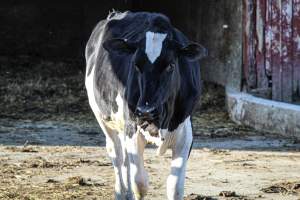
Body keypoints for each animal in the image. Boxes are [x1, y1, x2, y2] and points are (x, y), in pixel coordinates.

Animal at [84, 11, 206, 200]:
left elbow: (175, 187)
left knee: (125, 158)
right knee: (117, 154)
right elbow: (140, 184)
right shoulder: (132, 128)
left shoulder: (185, 134)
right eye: (136, 65)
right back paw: (121, 192)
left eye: (171, 65)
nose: (146, 111)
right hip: (102, 116)